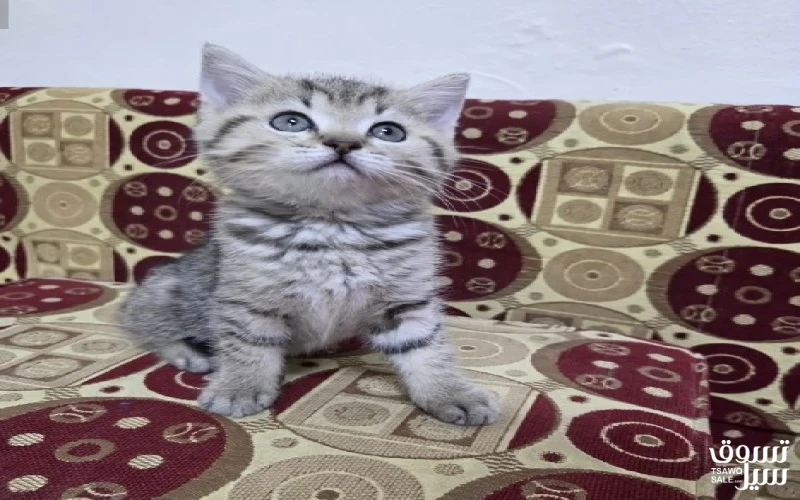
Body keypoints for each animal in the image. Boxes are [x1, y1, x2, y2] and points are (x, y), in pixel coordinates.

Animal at [119, 43, 500, 425]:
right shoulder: (248, 296)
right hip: (167, 293)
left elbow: (424, 345)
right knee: (144, 326)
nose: (342, 143)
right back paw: (189, 353)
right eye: (291, 122)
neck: (333, 229)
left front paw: (450, 391)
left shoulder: (407, 298)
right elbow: (248, 342)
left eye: (388, 131)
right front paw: (240, 386)